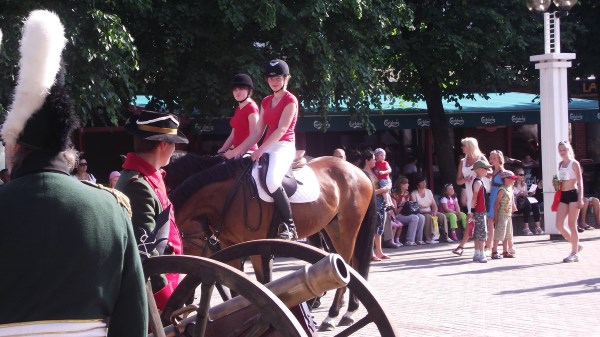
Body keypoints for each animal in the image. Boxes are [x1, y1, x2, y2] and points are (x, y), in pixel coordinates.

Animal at [164, 154, 378, 330]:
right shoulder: (230, 248)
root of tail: (357, 170)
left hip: (347, 228)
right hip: (331, 228)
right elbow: (235, 287)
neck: (227, 194)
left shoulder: (256, 248)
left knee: (347, 262)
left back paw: (333, 315)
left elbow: (263, 283)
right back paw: (346, 309)